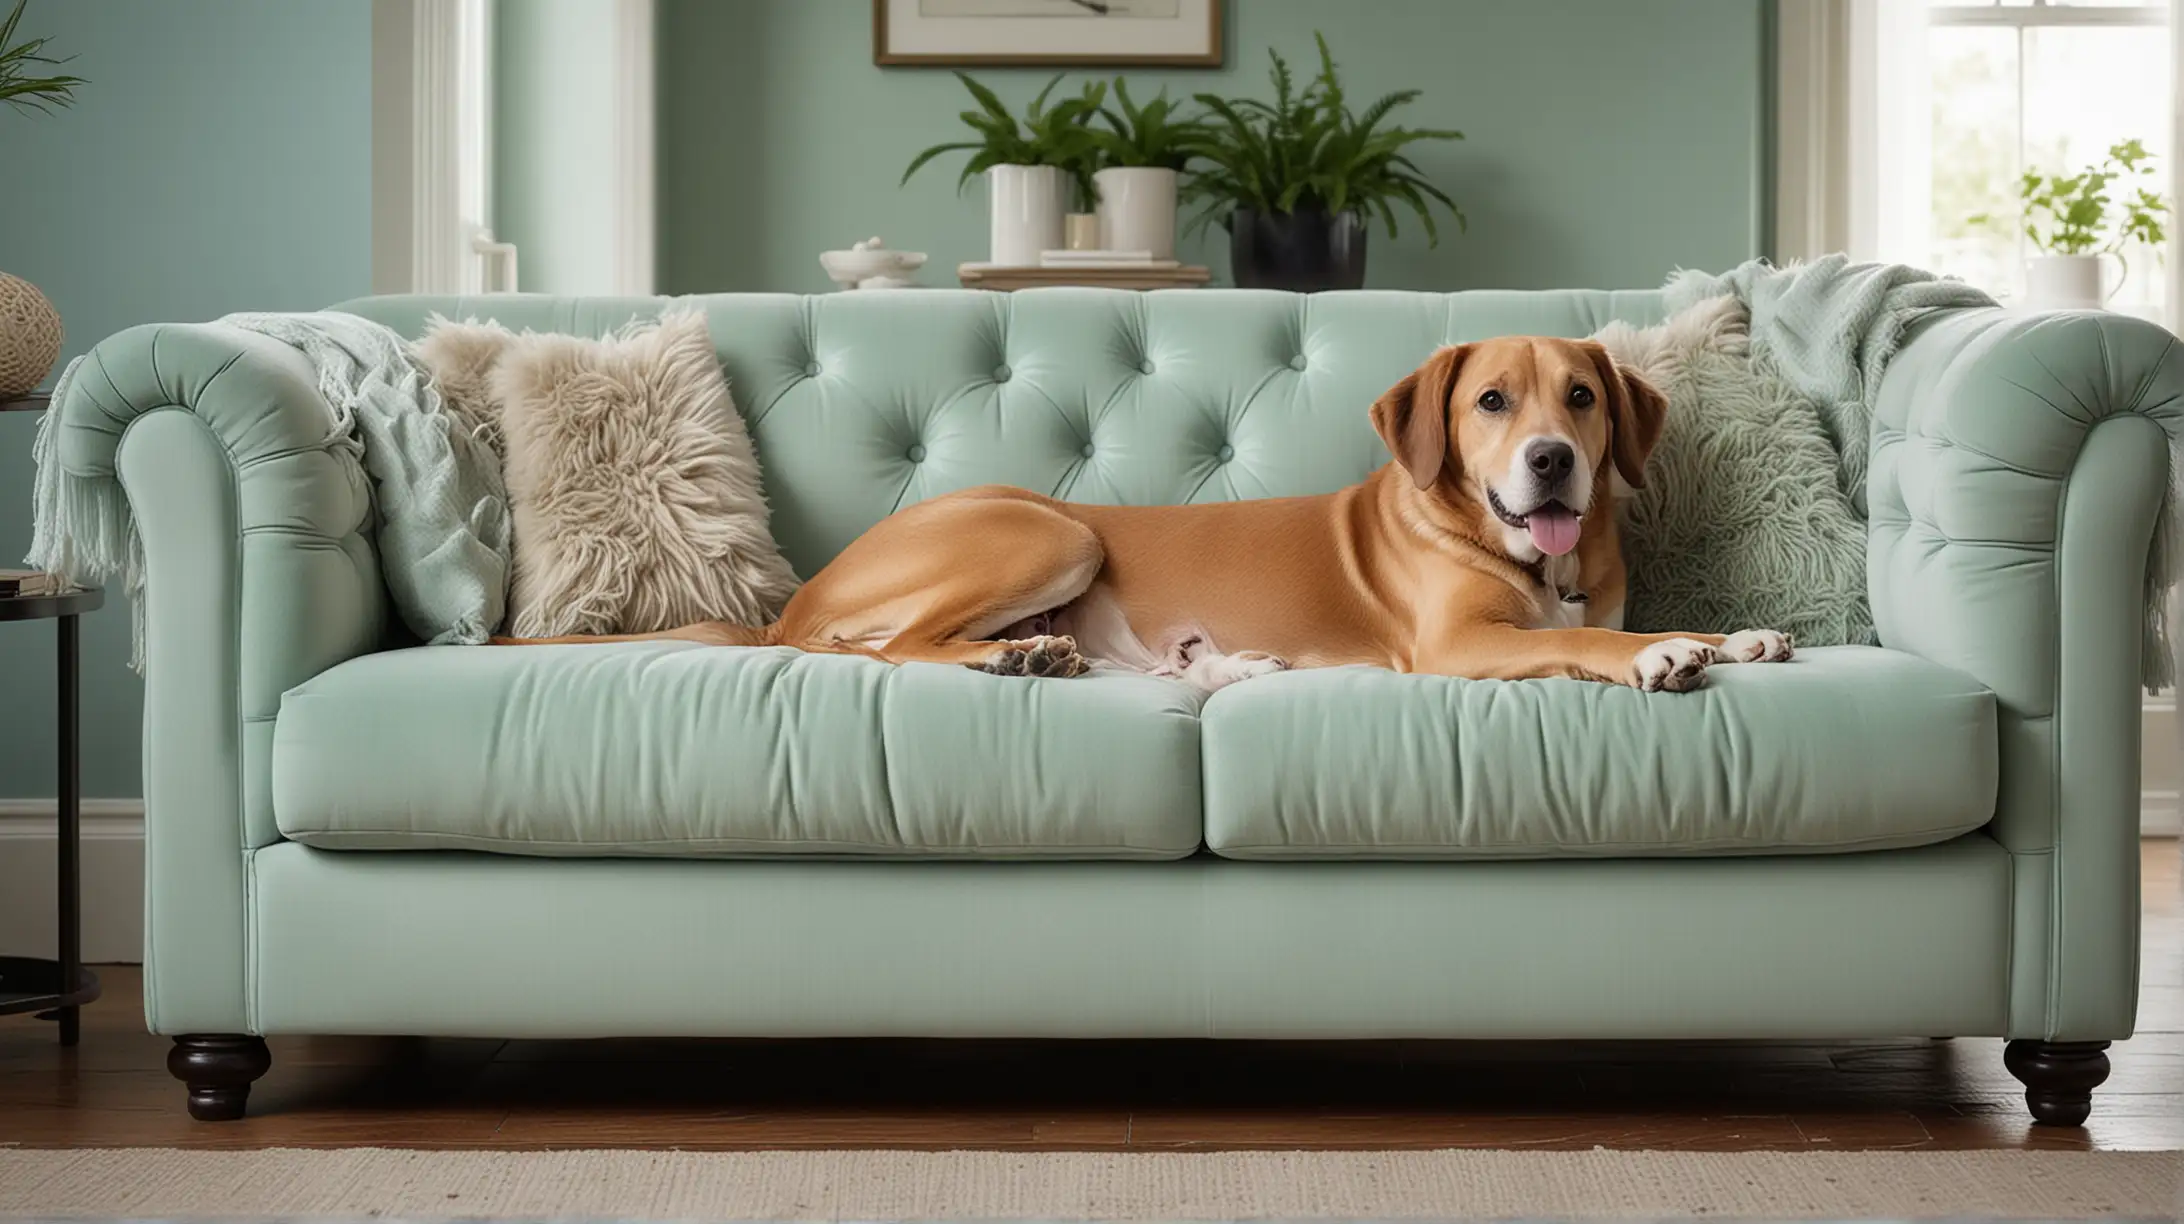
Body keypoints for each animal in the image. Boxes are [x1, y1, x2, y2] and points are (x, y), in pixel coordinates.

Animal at [502, 338, 1799, 695]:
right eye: (1490, 402)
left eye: (1582, 397)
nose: (1551, 462)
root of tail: (792, 600)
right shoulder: (1457, 646)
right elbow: (1587, 640)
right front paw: (1665, 655)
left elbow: (1630, 618)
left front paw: (1738, 633)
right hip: (1048, 530)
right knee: (881, 645)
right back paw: (1015, 656)